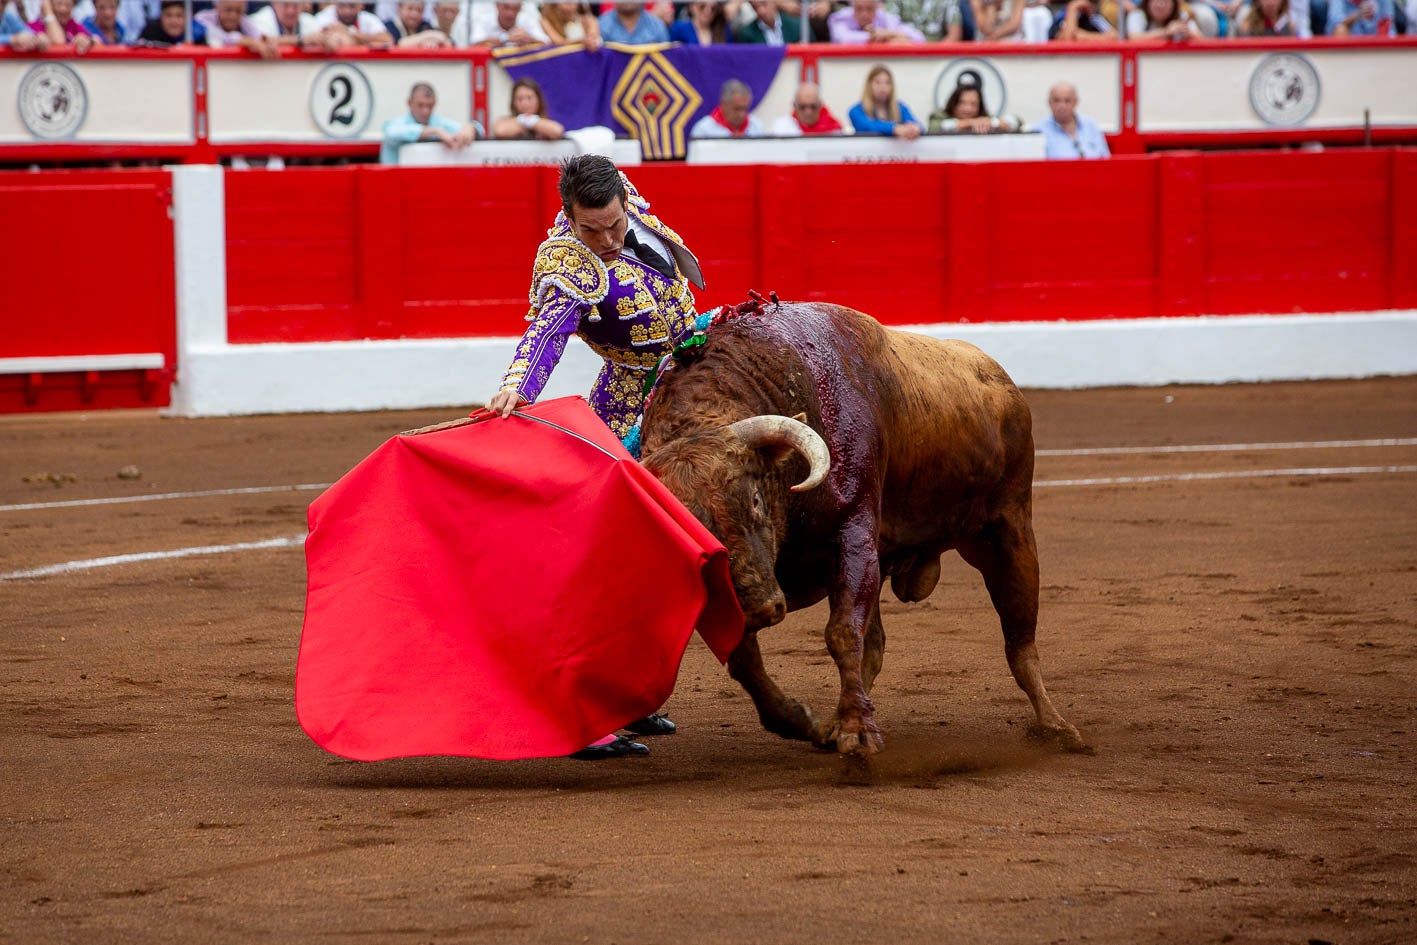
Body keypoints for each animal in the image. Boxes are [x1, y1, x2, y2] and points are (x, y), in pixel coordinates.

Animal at [643, 298, 1082, 759]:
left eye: (756, 499)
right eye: (684, 523)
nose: (762, 608)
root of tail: (1001, 380)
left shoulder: (854, 533)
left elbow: (842, 632)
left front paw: (857, 731)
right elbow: (745, 656)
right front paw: (807, 722)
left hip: (1009, 530)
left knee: (1020, 639)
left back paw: (1056, 726)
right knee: (879, 645)